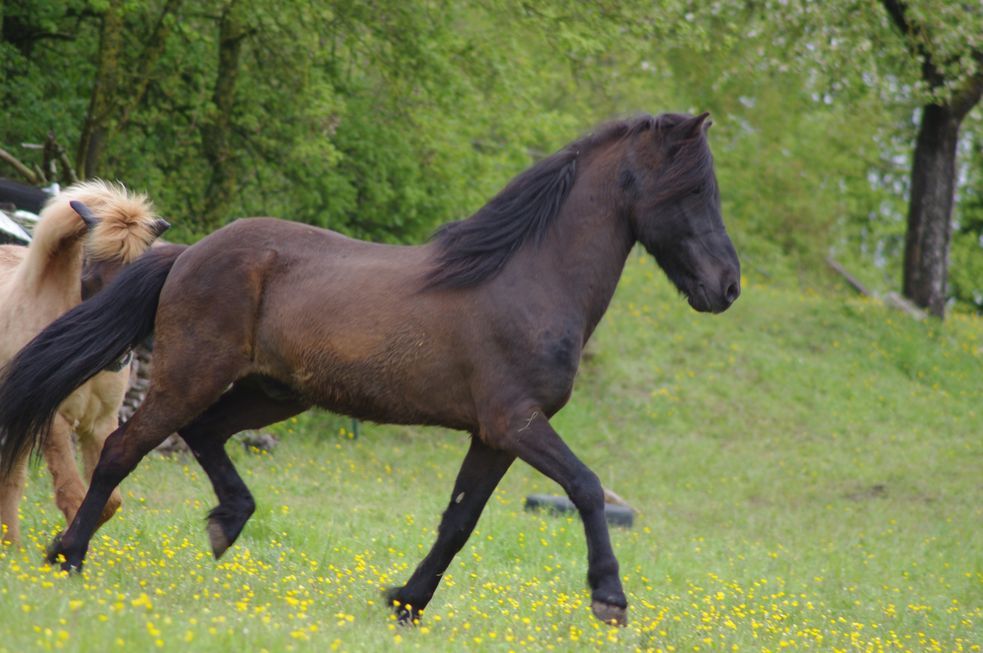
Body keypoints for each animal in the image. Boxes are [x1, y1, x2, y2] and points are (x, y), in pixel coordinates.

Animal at [0, 181, 167, 544]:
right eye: (90, 277)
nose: (117, 354)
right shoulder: (55, 421)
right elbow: (73, 494)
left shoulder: (101, 423)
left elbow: (108, 501)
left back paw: (12, 546)